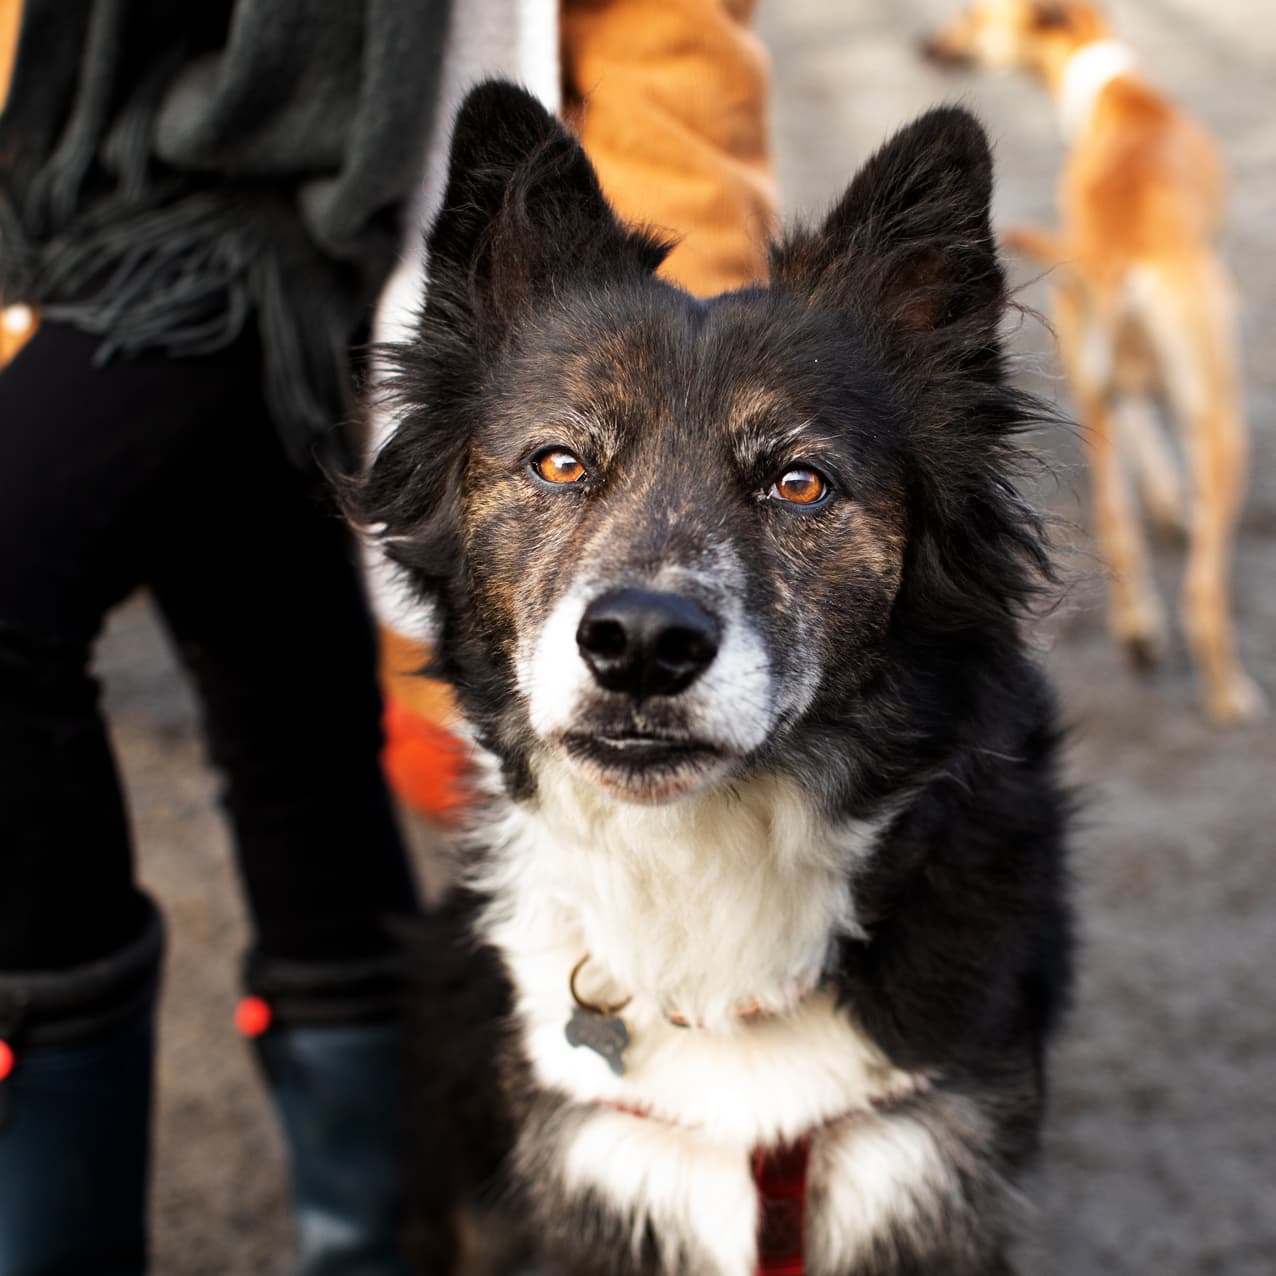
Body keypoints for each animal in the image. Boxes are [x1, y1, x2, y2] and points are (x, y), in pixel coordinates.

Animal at [923, 0, 1260, 724]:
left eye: (971, 17)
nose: (926, 45)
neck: (1115, 94)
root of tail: (1118, 257)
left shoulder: (1115, 385)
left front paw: (1165, 498)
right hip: (1223, 422)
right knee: (1202, 592)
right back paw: (1229, 695)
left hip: (1091, 389)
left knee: (1116, 524)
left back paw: (1139, 631)